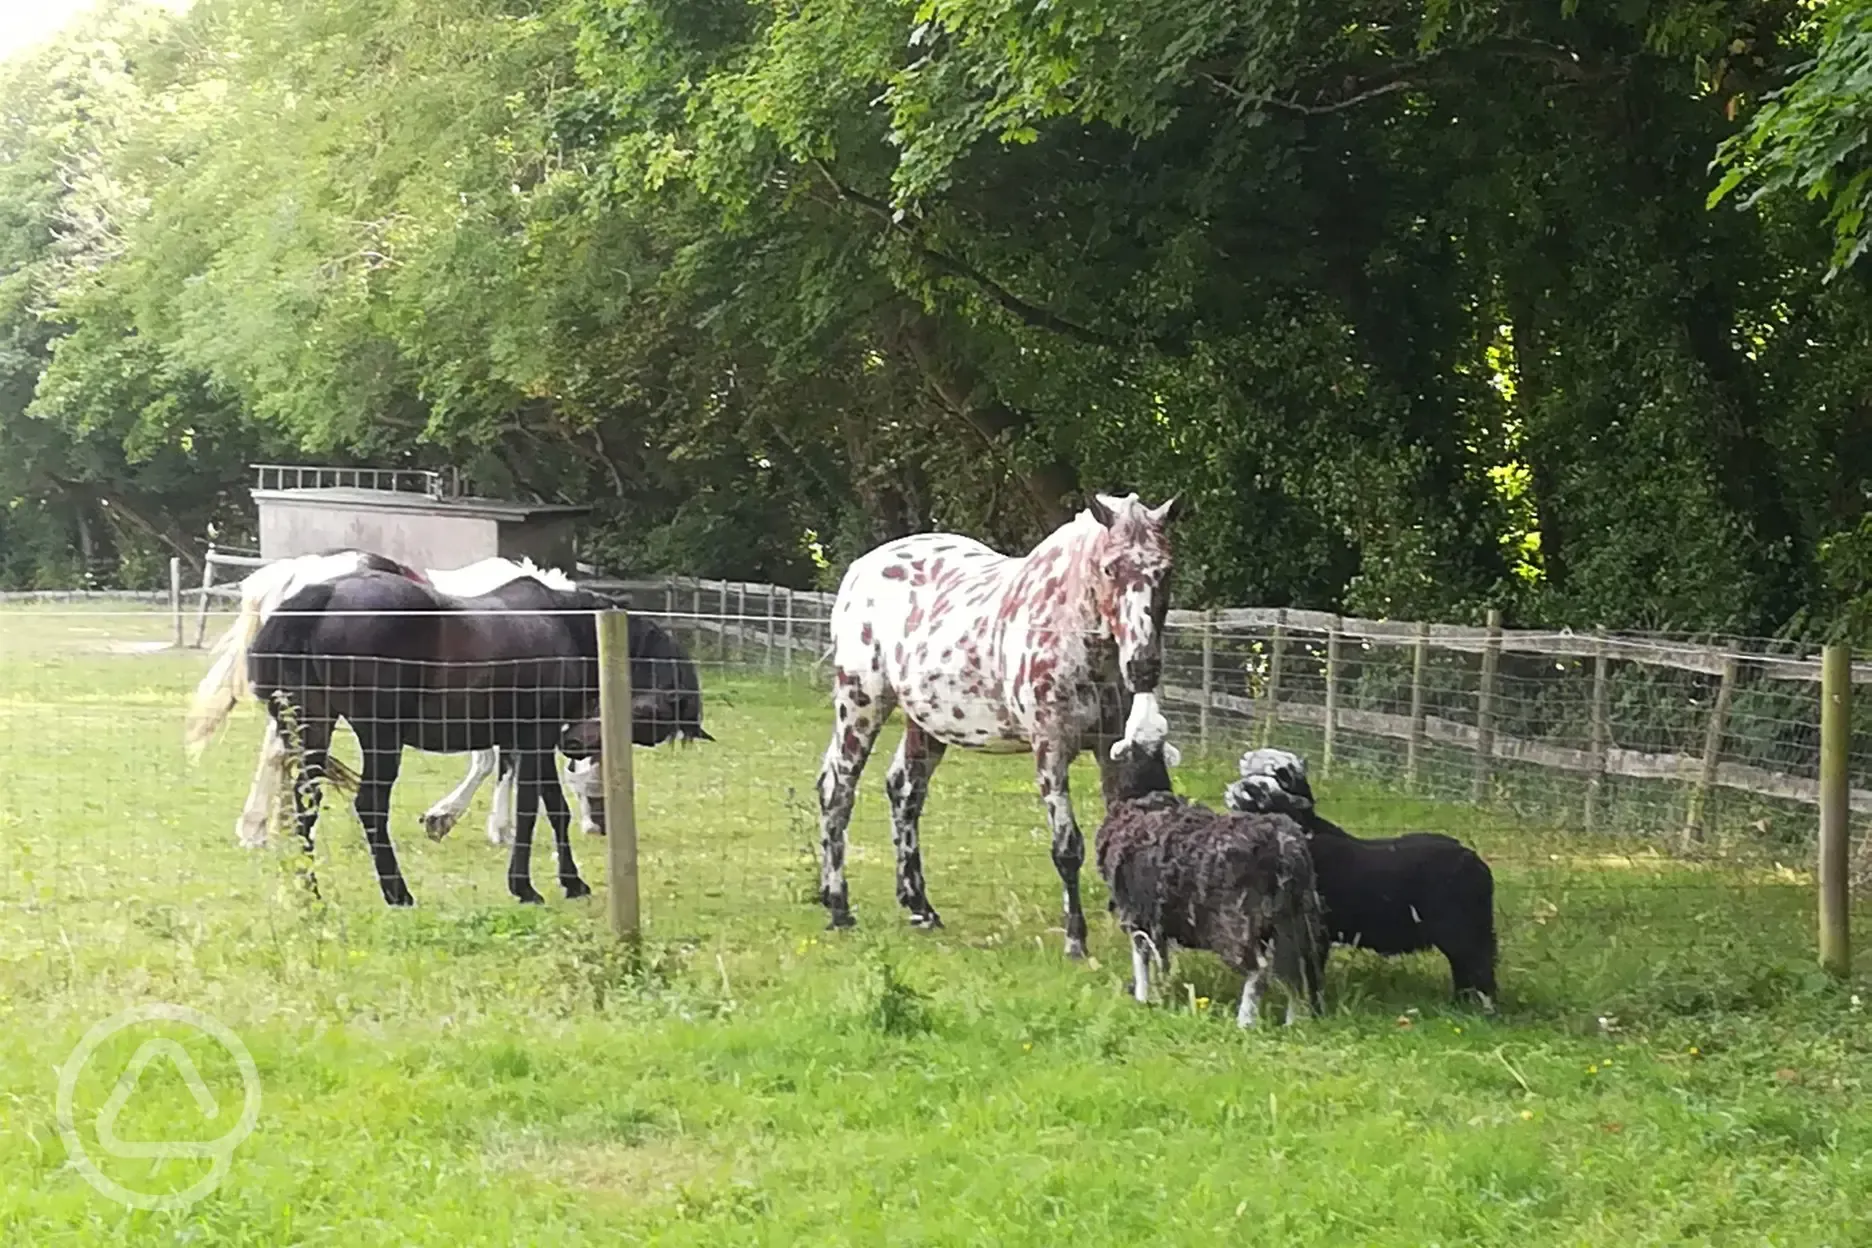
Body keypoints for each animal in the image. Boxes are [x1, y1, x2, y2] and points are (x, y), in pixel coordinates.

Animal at [247, 568, 707, 909]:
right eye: (646, 715)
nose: (575, 743)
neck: (565, 625)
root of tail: (325, 593)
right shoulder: (536, 736)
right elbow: (530, 810)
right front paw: (525, 886)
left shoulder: (532, 740)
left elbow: (555, 809)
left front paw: (571, 883)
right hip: (381, 736)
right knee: (370, 806)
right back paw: (397, 893)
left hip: (314, 725)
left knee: (306, 802)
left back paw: (310, 891)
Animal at [816, 486, 1175, 957]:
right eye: (1110, 567)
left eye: (1165, 570)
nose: (1144, 666)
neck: (1066, 628)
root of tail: (861, 570)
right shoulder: (1050, 750)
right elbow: (1068, 847)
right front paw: (1075, 939)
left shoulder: (1109, 748)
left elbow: (1119, 831)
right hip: (861, 703)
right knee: (837, 788)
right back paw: (838, 906)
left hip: (924, 723)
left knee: (904, 792)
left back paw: (920, 907)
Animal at [1093, 718, 1325, 1032]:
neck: (1143, 795)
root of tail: (1285, 846)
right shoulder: (1156, 917)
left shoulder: (1136, 911)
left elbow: (1141, 957)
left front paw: (1142, 998)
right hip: (1294, 918)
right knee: (1296, 969)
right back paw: (1293, 1022)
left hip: (1235, 922)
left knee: (1260, 970)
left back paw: (1245, 1021)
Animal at [1220, 752, 1497, 1002]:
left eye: (1256, 788)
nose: (1231, 791)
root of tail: (1478, 865)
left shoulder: (1314, 930)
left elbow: (1311, 972)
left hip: (1464, 933)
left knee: (1480, 971)